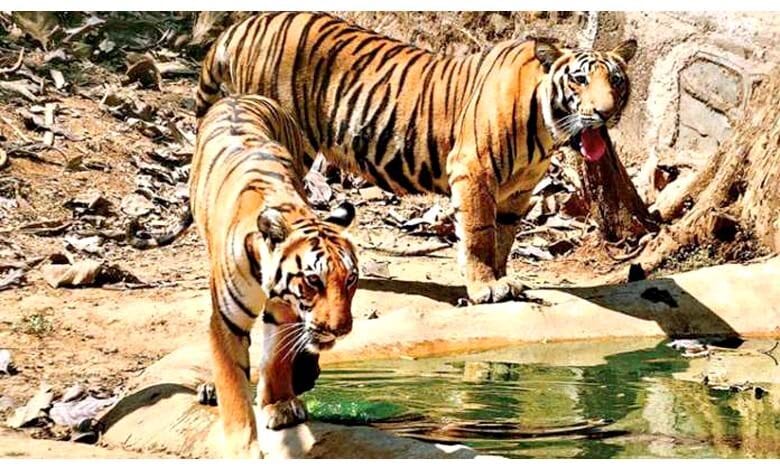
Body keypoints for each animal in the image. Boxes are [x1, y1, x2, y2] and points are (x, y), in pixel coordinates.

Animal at [129, 95, 360, 458]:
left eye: (350, 280)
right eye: (313, 281)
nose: (341, 329)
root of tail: (241, 96)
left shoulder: (284, 311)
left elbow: (276, 358)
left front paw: (279, 405)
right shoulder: (226, 322)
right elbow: (233, 386)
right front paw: (243, 447)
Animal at [195, 12, 637, 305]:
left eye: (615, 80)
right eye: (579, 79)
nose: (605, 112)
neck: (546, 127)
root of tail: (241, 25)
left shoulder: (519, 190)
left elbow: (505, 236)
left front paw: (502, 279)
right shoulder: (473, 171)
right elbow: (479, 234)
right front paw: (485, 287)